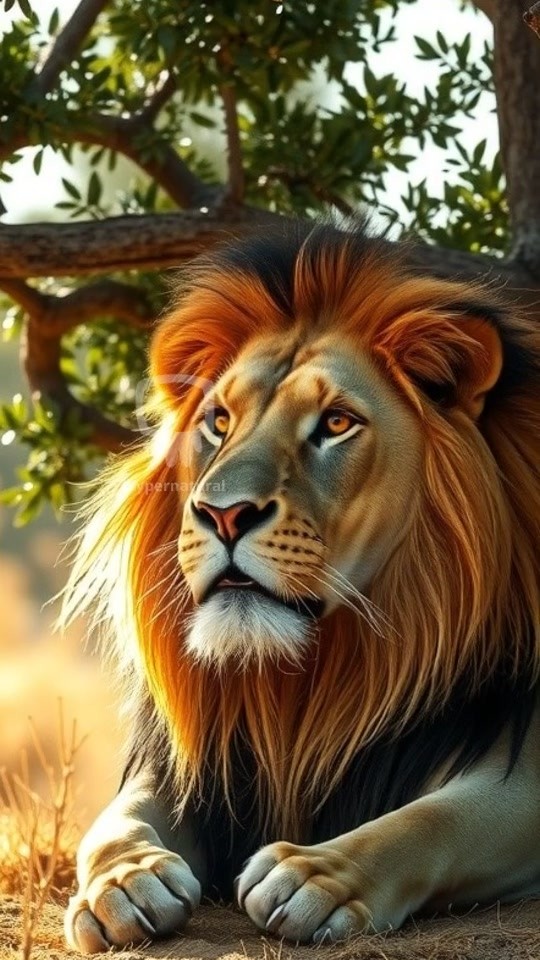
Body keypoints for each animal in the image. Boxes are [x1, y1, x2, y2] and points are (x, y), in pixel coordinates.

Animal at [62, 222, 540, 953]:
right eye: (219, 421)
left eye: (336, 423)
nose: (224, 514)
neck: (312, 680)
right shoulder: (196, 767)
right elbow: (114, 821)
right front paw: (124, 880)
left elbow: (434, 820)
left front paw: (315, 876)